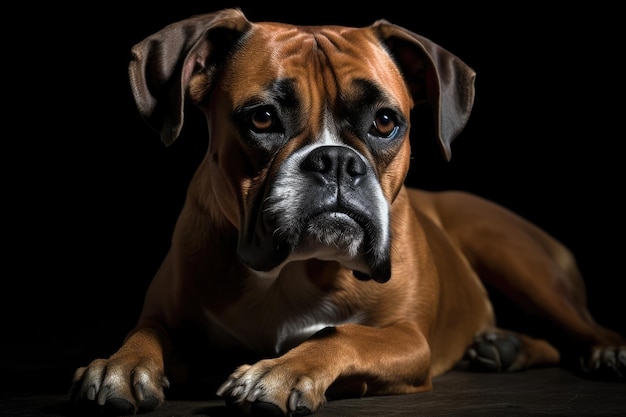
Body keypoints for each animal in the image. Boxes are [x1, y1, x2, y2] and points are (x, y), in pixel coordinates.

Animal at [69, 7, 624, 416]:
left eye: (385, 122)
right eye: (262, 118)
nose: (335, 160)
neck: (291, 272)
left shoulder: (407, 340)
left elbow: (343, 333)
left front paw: (280, 370)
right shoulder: (168, 317)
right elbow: (147, 331)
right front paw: (121, 364)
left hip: (511, 256)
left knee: (577, 327)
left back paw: (600, 349)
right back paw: (503, 348)